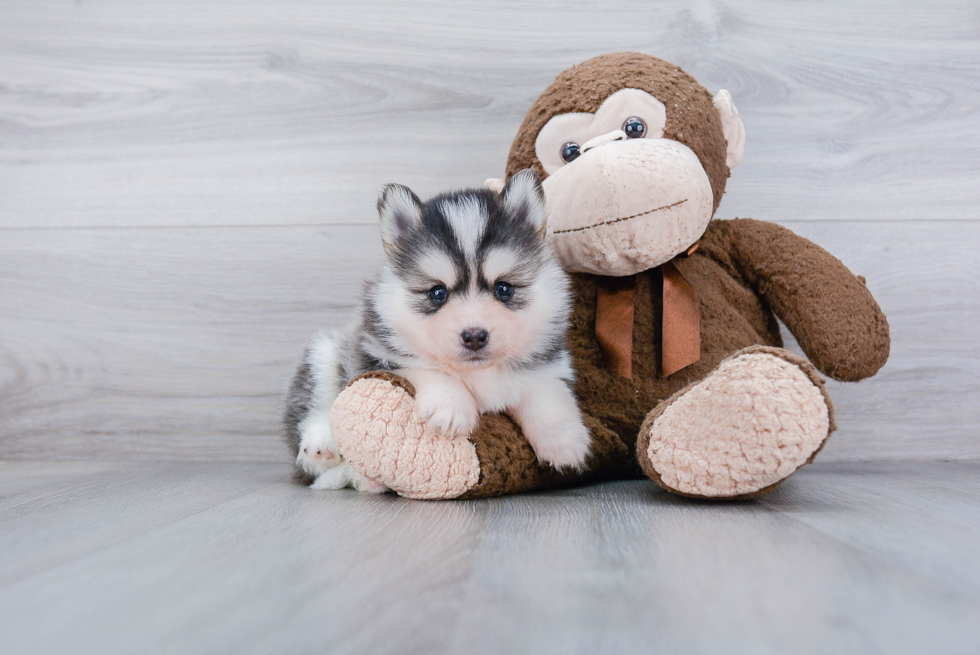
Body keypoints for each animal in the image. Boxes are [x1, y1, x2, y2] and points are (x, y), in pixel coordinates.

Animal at [284, 169, 588, 492]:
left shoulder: (545, 365)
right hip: (323, 355)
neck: (478, 373)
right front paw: (450, 407)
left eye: (503, 288)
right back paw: (323, 446)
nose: (474, 336)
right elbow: (429, 368)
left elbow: (546, 395)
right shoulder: (377, 354)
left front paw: (565, 442)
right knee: (315, 420)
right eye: (437, 293)